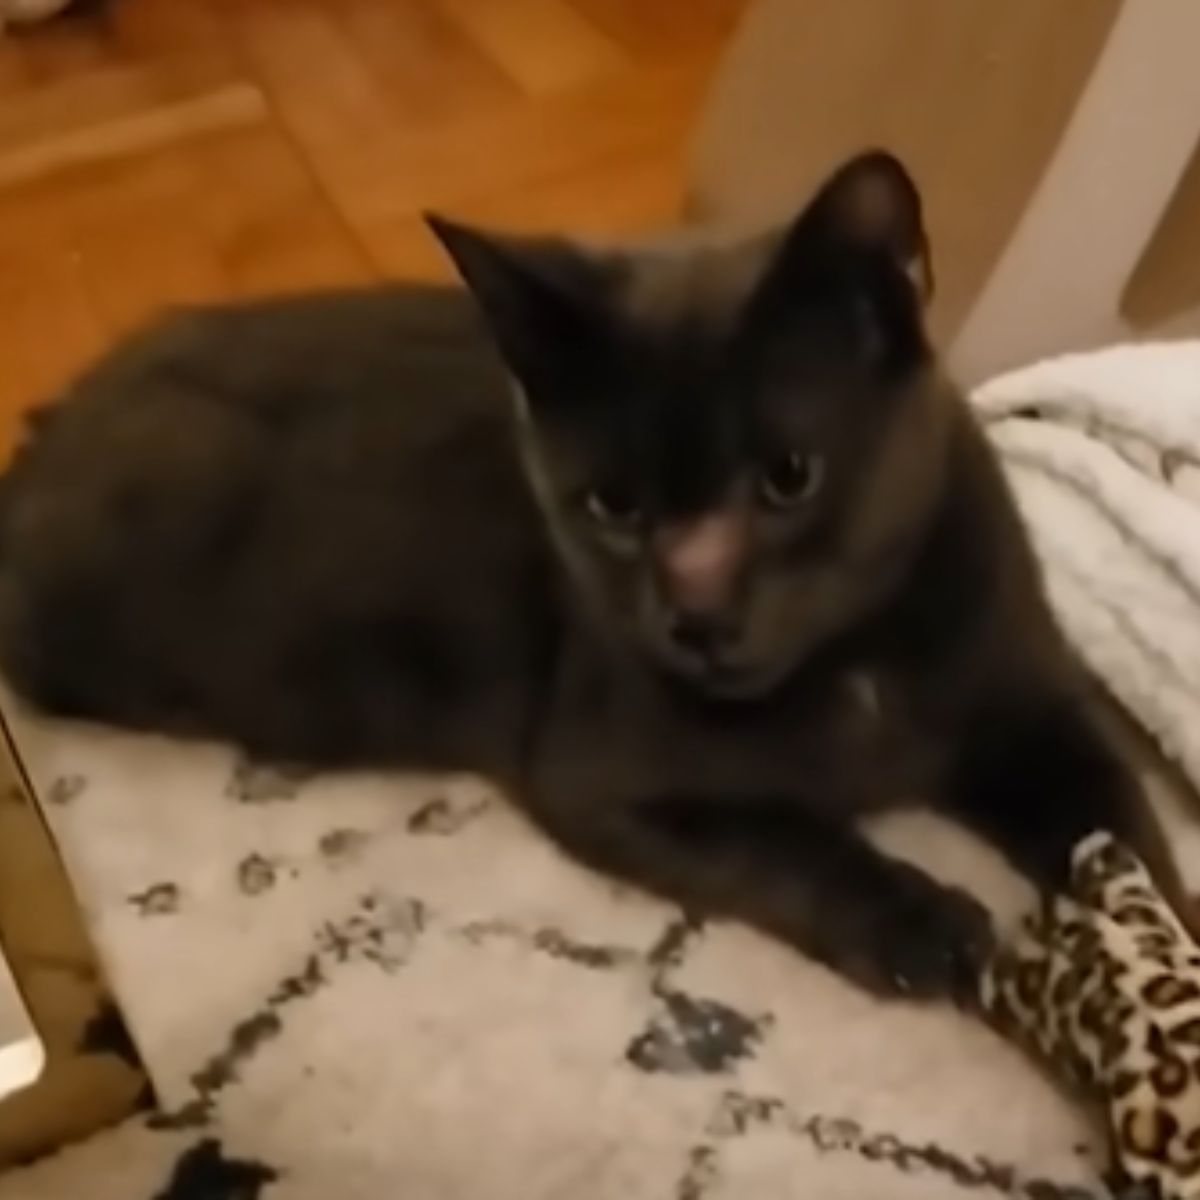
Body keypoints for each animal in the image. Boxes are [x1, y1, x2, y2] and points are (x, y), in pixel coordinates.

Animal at [0, 152, 1180, 1003]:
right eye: (613, 506)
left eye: (788, 476)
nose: (693, 615)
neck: (853, 669)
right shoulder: (599, 771)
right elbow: (790, 841)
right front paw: (921, 922)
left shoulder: (1033, 702)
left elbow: (1129, 833)